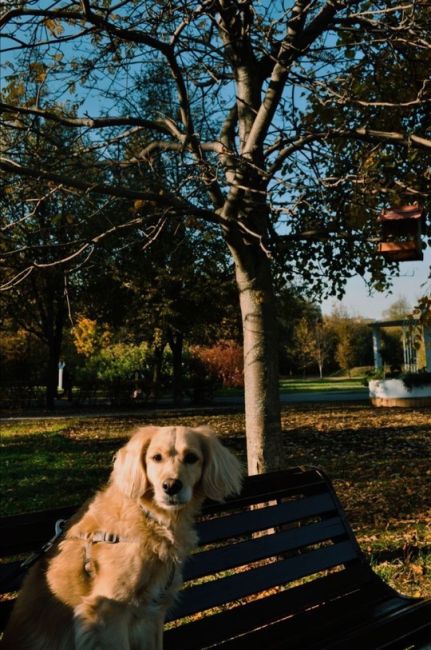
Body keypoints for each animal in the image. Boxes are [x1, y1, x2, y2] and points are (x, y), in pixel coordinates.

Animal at [1, 426, 243, 648]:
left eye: (192, 458)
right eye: (156, 457)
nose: (170, 486)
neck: (150, 518)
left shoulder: (154, 612)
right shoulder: (108, 612)